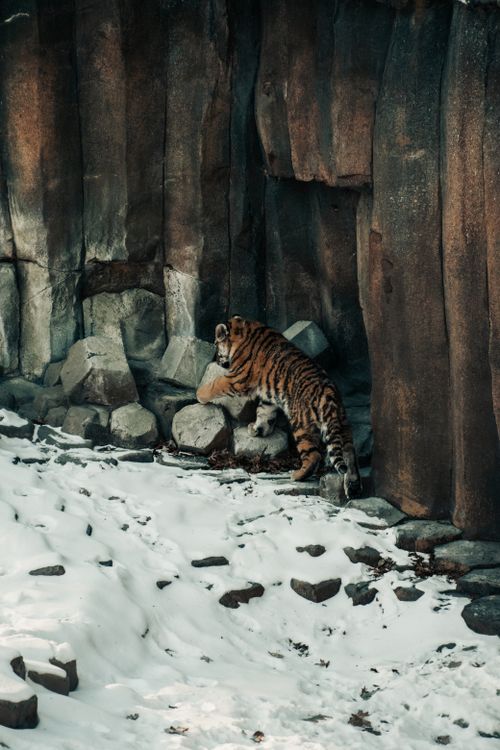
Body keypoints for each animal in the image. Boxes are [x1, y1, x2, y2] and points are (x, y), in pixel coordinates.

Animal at [196, 315, 361, 496]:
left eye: (216, 344)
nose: (218, 361)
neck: (242, 330)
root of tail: (329, 394)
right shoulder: (268, 397)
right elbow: (263, 413)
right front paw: (257, 429)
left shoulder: (237, 378)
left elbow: (216, 384)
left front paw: (200, 394)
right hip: (343, 427)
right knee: (350, 457)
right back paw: (352, 486)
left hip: (301, 426)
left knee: (314, 456)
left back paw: (297, 475)